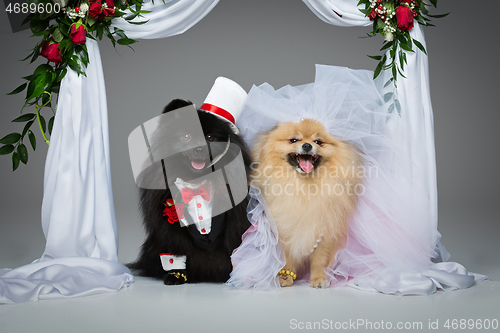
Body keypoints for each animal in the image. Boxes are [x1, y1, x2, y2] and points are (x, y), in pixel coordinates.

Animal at [129, 98, 252, 282]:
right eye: (186, 137)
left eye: (210, 137)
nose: (199, 148)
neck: (196, 182)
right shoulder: (170, 225)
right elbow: (175, 252)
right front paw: (176, 275)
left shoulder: (235, 221)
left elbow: (235, 245)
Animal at [252, 118, 362, 286]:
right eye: (294, 140)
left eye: (318, 142)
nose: (307, 145)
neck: (304, 186)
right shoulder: (286, 228)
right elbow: (287, 257)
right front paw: (285, 277)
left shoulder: (326, 228)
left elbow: (319, 259)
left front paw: (318, 278)